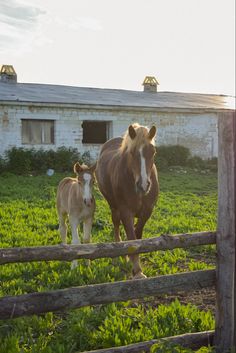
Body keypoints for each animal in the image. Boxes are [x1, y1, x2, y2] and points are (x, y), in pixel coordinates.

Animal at [95, 124, 159, 278]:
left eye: (153, 152)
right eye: (131, 152)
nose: (143, 185)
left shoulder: (147, 211)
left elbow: (138, 233)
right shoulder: (126, 211)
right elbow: (131, 236)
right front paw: (137, 270)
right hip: (113, 206)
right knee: (116, 224)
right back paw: (120, 254)